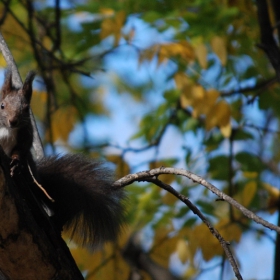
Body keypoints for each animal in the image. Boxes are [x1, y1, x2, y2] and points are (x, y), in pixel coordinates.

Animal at [0, 70, 125, 247]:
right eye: (2, 105)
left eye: (26, 108)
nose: (13, 121)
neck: (7, 130)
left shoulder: (25, 136)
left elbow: (21, 151)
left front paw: (16, 163)